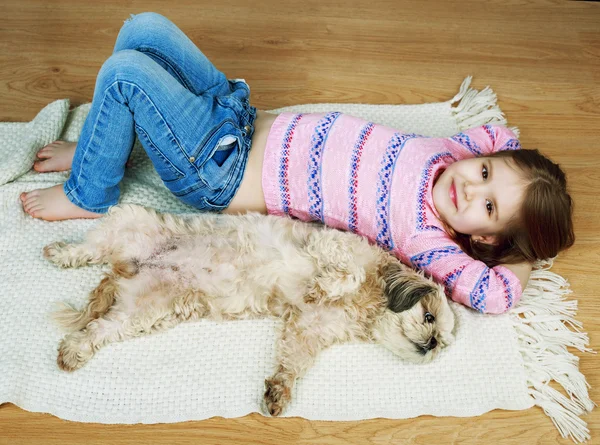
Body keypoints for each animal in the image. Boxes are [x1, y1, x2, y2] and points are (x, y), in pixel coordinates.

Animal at [44, 203, 454, 414]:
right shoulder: (331, 247)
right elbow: (344, 273)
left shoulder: (307, 330)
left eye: (443, 345)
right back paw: (61, 252)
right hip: (128, 221)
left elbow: (292, 362)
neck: (368, 303)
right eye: (429, 317)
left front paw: (279, 392)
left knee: (99, 330)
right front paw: (322, 285)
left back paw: (74, 351)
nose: (432, 344)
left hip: (143, 310)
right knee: (88, 249)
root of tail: (128, 266)